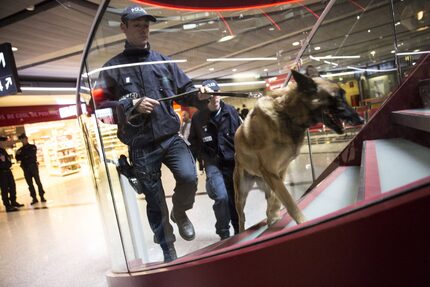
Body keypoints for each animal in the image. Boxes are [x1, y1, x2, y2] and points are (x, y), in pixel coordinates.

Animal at [235, 70, 362, 232]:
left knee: (269, 200)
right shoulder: (270, 171)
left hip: (267, 185)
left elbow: (278, 199)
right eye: (338, 97)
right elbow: (288, 200)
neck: (287, 114)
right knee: (241, 218)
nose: (361, 120)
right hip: (241, 195)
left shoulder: (280, 172)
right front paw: (303, 222)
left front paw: (274, 216)